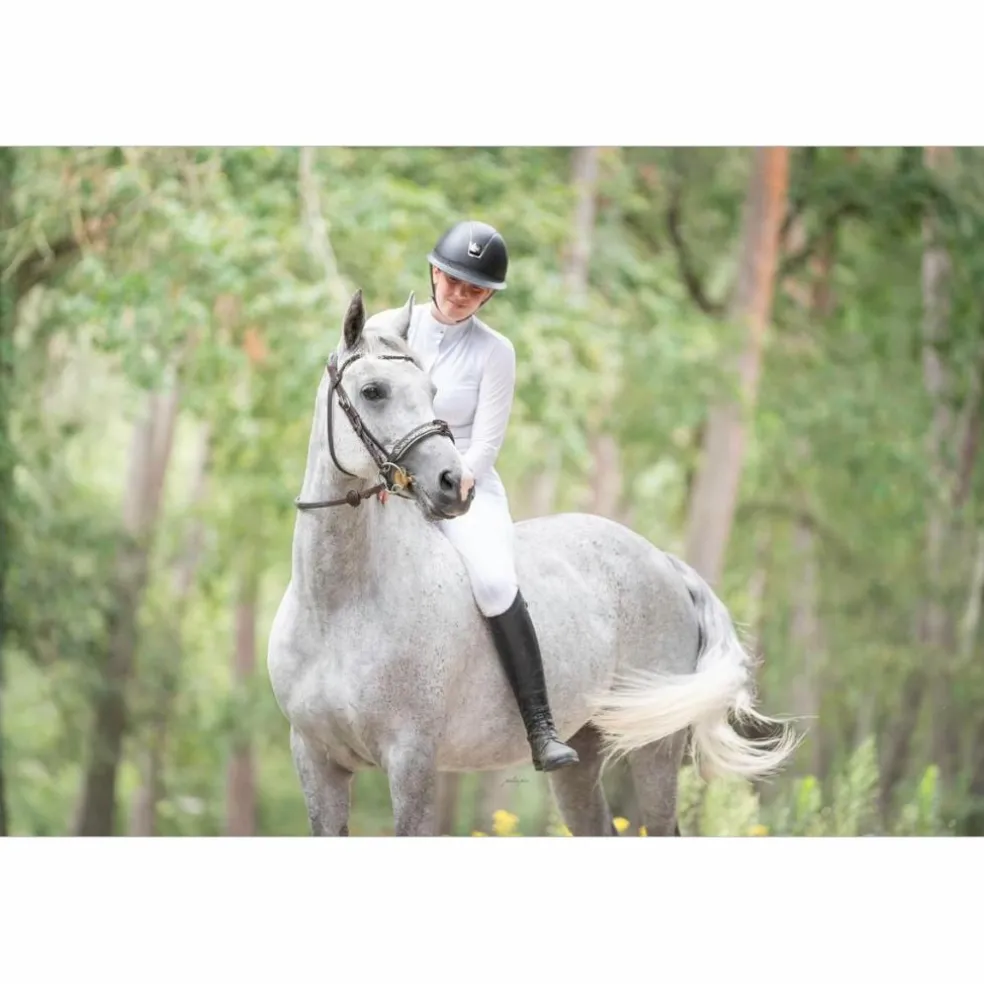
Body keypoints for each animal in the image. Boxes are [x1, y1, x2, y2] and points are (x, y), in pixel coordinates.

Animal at [266, 288, 800, 836]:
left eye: (432, 390)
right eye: (373, 391)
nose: (453, 485)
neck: (339, 605)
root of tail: (665, 562)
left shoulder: (411, 760)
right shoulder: (315, 759)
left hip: (654, 748)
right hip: (584, 749)